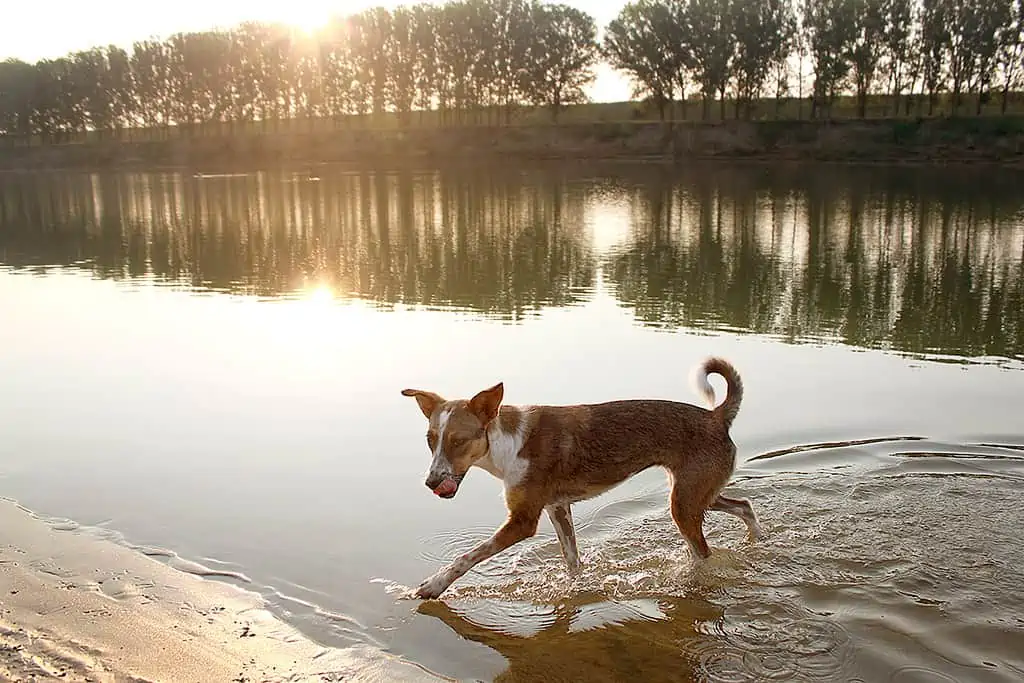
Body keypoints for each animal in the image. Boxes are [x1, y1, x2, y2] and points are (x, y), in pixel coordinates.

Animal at [399, 358, 761, 598]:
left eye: (458, 441)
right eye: (431, 439)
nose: (432, 482)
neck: (508, 443)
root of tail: (716, 417)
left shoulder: (522, 521)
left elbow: (468, 556)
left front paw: (434, 585)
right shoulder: (558, 509)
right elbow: (572, 561)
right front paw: (575, 589)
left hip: (684, 504)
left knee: (706, 551)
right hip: (697, 495)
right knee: (744, 505)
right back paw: (755, 540)